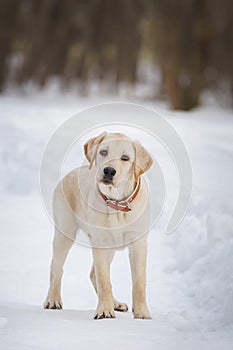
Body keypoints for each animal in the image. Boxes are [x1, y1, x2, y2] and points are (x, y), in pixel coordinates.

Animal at [44, 132, 153, 320]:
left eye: (125, 158)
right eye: (103, 152)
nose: (109, 171)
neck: (117, 203)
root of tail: (70, 173)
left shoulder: (138, 244)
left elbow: (139, 282)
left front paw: (142, 313)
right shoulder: (100, 243)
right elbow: (104, 280)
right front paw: (104, 311)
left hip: (109, 247)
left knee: (92, 274)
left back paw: (116, 303)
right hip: (65, 233)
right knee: (56, 268)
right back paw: (52, 299)